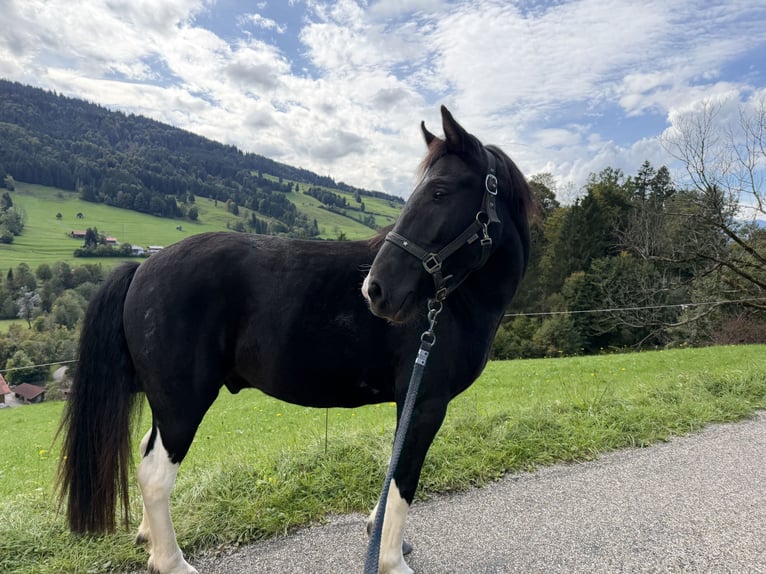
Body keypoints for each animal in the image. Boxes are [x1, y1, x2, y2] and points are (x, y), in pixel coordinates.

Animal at [56, 106, 533, 574]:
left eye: (439, 192)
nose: (375, 290)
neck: (456, 300)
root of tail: (143, 268)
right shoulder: (426, 402)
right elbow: (404, 478)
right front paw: (392, 561)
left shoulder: (411, 402)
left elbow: (393, 468)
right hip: (181, 404)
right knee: (155, 475)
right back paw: (172, 562)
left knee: (145, 452)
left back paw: (149, 540)